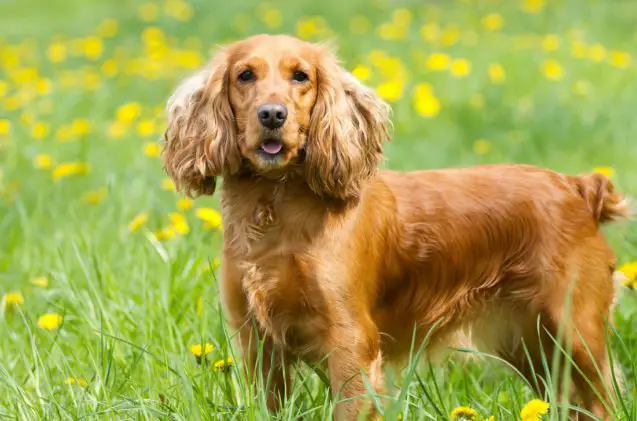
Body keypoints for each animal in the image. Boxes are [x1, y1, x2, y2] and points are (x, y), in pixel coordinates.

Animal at [161, 34, 628, 418]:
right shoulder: (257, 343)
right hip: (532, 346)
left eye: (301, 76)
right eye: (245, 75)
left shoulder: (352, 345)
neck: (274, 208)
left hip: (575, 333)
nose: (272, 114)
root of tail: (577, 187)